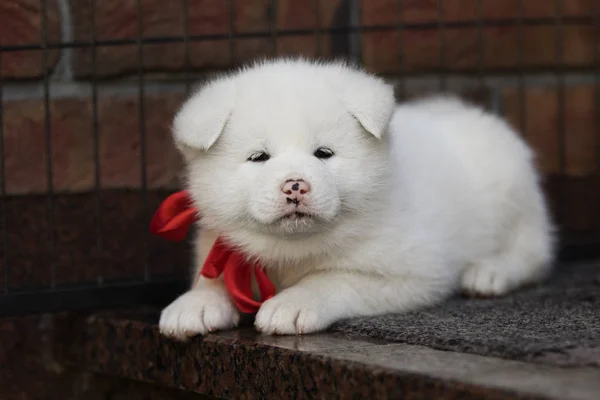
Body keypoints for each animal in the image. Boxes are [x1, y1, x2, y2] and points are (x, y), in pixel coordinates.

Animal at [158, 57, 552, 340]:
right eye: (259, 157)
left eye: (323, 153)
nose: (295, 185)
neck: (291, 253)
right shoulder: (218, 245)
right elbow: (210, 277)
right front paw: (196, 303)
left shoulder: (415, 272)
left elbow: (335, 278)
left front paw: (295, 302)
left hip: (513, 193)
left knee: (534, 250)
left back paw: (490, 272)